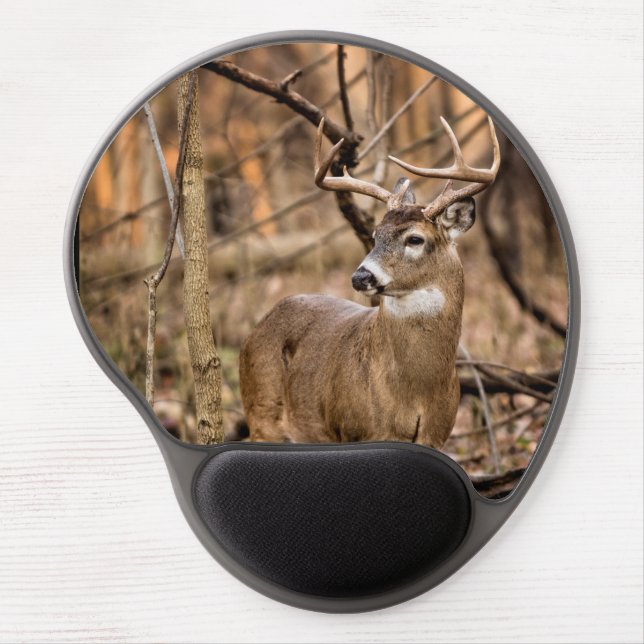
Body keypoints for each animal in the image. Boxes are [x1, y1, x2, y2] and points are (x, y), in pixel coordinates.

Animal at [239, 115, 500, 448]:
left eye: (415, 239)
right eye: (375, 235)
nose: (361, 276)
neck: (417, 392)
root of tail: (254, 331)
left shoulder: (438, 435)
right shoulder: (355, 430)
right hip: (262, 413)